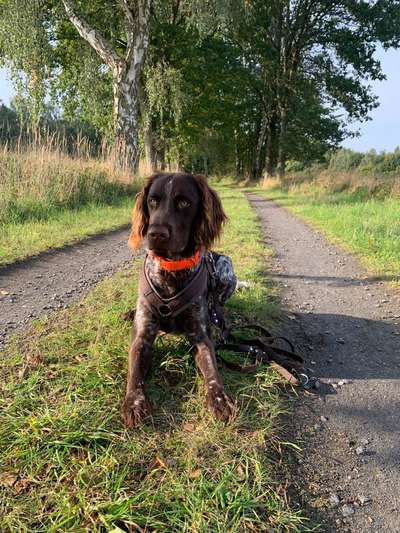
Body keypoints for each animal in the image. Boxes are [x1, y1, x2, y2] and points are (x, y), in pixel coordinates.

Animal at [120, 172, 236, 426]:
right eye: (152, 201)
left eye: (184, 203)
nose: (156, 234)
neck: (171, 270)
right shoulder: (142, 336)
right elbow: (134, 371)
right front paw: (134, 402)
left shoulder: (201, 338)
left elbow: (212, 369)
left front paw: (220, 398)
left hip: (227, 268)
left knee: (220, 306)